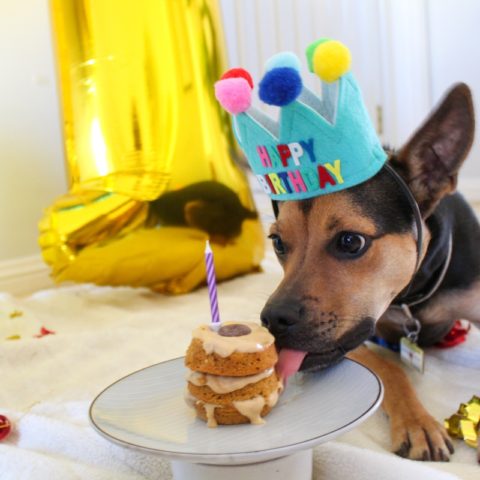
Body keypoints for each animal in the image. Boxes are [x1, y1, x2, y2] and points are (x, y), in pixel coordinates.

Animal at [260, 83, 478, 462]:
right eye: (277, 242)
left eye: (351, 242)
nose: (272, 321)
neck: (412, 298)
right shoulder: (356, 340)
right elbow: (392, 367)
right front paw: (417, 422)